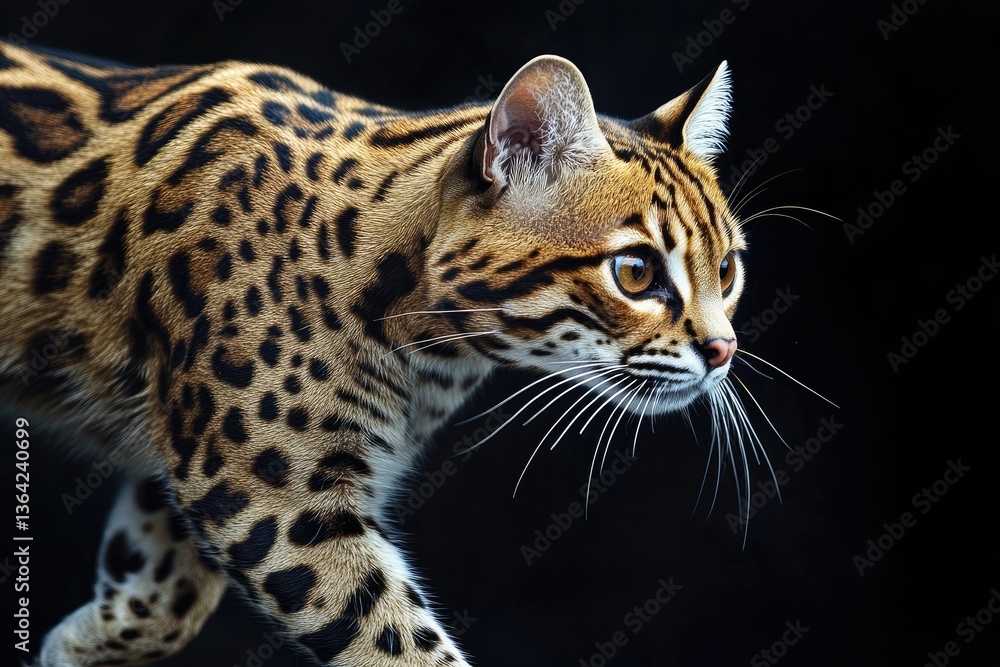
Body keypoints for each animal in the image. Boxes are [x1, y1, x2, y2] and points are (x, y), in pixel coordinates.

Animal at [0, 40, 746, 666]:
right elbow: (396, 642)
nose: (724, 349)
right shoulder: (267, 491)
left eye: (728, 269)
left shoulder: (198, 446)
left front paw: (81, 645)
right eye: (636, 272)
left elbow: (166, 592)